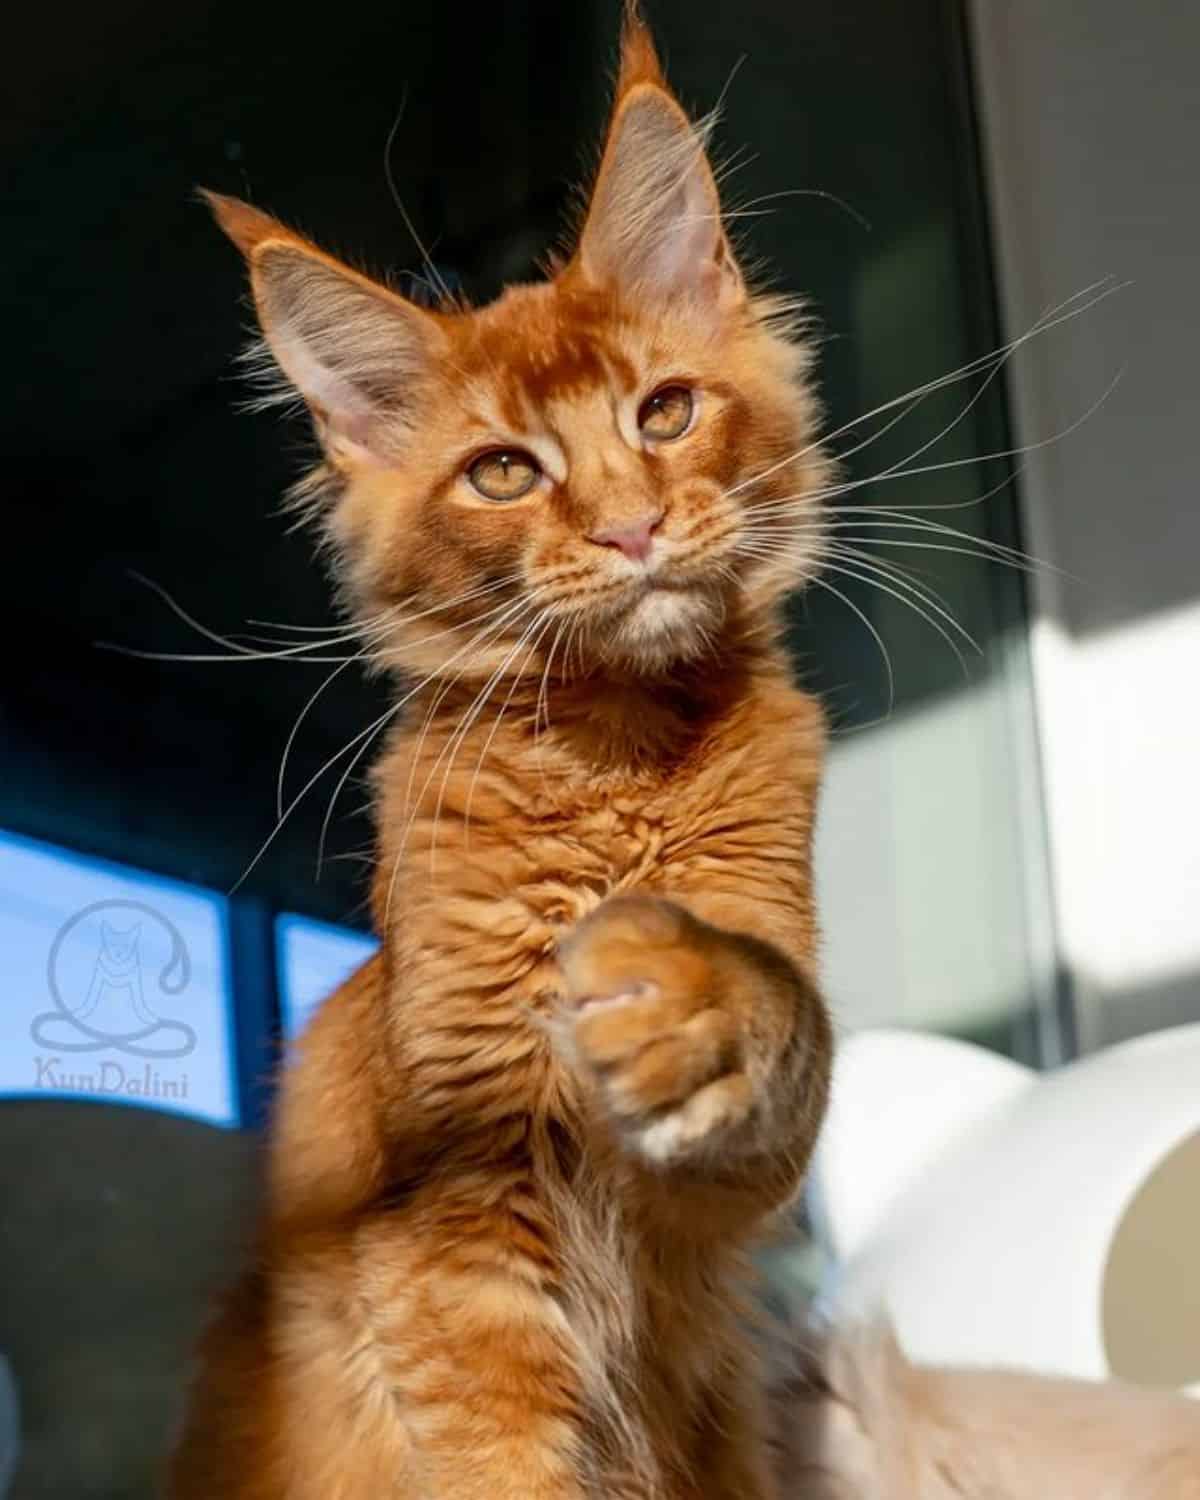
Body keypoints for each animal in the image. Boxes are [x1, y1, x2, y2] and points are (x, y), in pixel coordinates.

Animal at [171, 14, 834, 1500]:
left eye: (663, 414)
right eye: (503, 475)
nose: (634, 527)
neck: (621, 764)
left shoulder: (713, 1182)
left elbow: (785, 1021)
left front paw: (686, 991)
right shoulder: (455, 1223)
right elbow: (501, 1458)